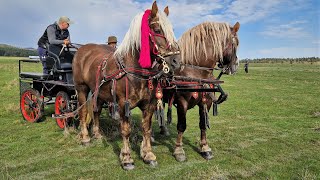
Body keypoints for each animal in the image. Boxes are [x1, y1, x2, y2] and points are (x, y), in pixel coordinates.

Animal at [72, 1, 180, 170]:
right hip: (82, 88)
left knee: (96, 110)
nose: (176, 61)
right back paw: (85, 138)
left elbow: (146, 129)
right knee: (83, 111)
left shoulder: (149, 104)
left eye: (172, 30)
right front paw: (127, 158)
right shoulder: (124, 104)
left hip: (99, 92)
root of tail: (81, 49)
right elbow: (126, 130)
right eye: (157, 30)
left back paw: (97, 134)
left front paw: (148, 155)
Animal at [162, 21, 240, 162]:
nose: (236, 65)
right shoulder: (182, 102)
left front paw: (205, 147)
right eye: (235, 43)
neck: (196, 72)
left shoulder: (206, 102)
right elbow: (181, 125)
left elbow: (203, 124)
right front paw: (179, 150)